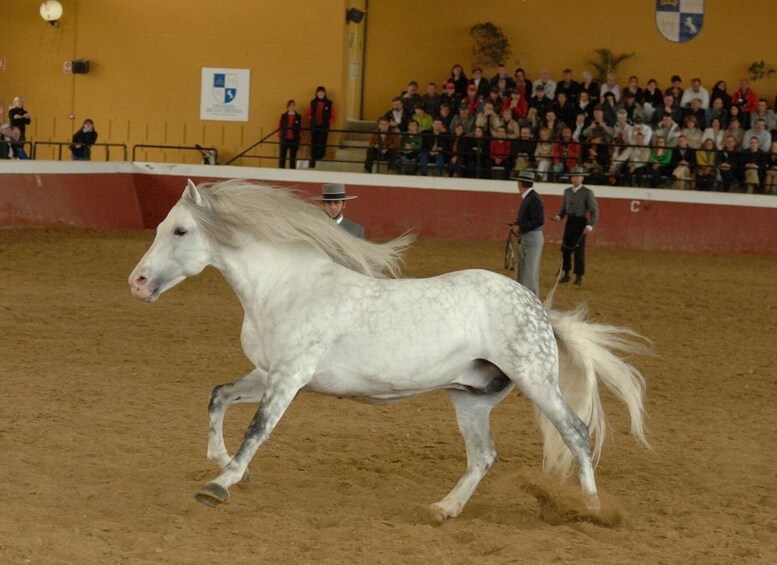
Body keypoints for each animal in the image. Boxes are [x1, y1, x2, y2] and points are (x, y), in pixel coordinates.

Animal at [129, 181, 648, 520]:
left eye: (179, 231)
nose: (137, 281)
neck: (283, 286)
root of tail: (537, 306)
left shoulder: (290, 376)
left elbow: (257, 430)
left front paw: (218, 486)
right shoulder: (269, 372)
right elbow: (218, 396)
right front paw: (222, 464)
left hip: (536, 381)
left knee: (576, 433)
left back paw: (592, 508)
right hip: (470, 397)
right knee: (483, 456)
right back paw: (444, 509)